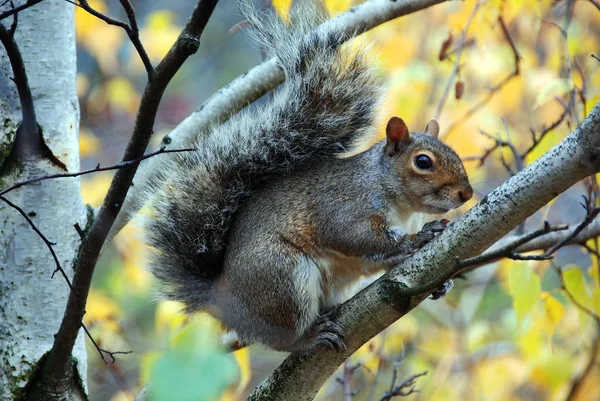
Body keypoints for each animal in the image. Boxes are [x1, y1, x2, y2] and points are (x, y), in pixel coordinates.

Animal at [142, 0, 474, 350]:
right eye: (423, 162)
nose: (466, 193)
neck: (401, 204)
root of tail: (222, 299)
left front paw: (441, 283)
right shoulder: (344, 204)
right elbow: (356, 236)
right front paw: (419, 237)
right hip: (282, 277)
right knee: (283, 337)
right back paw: (310, 336)